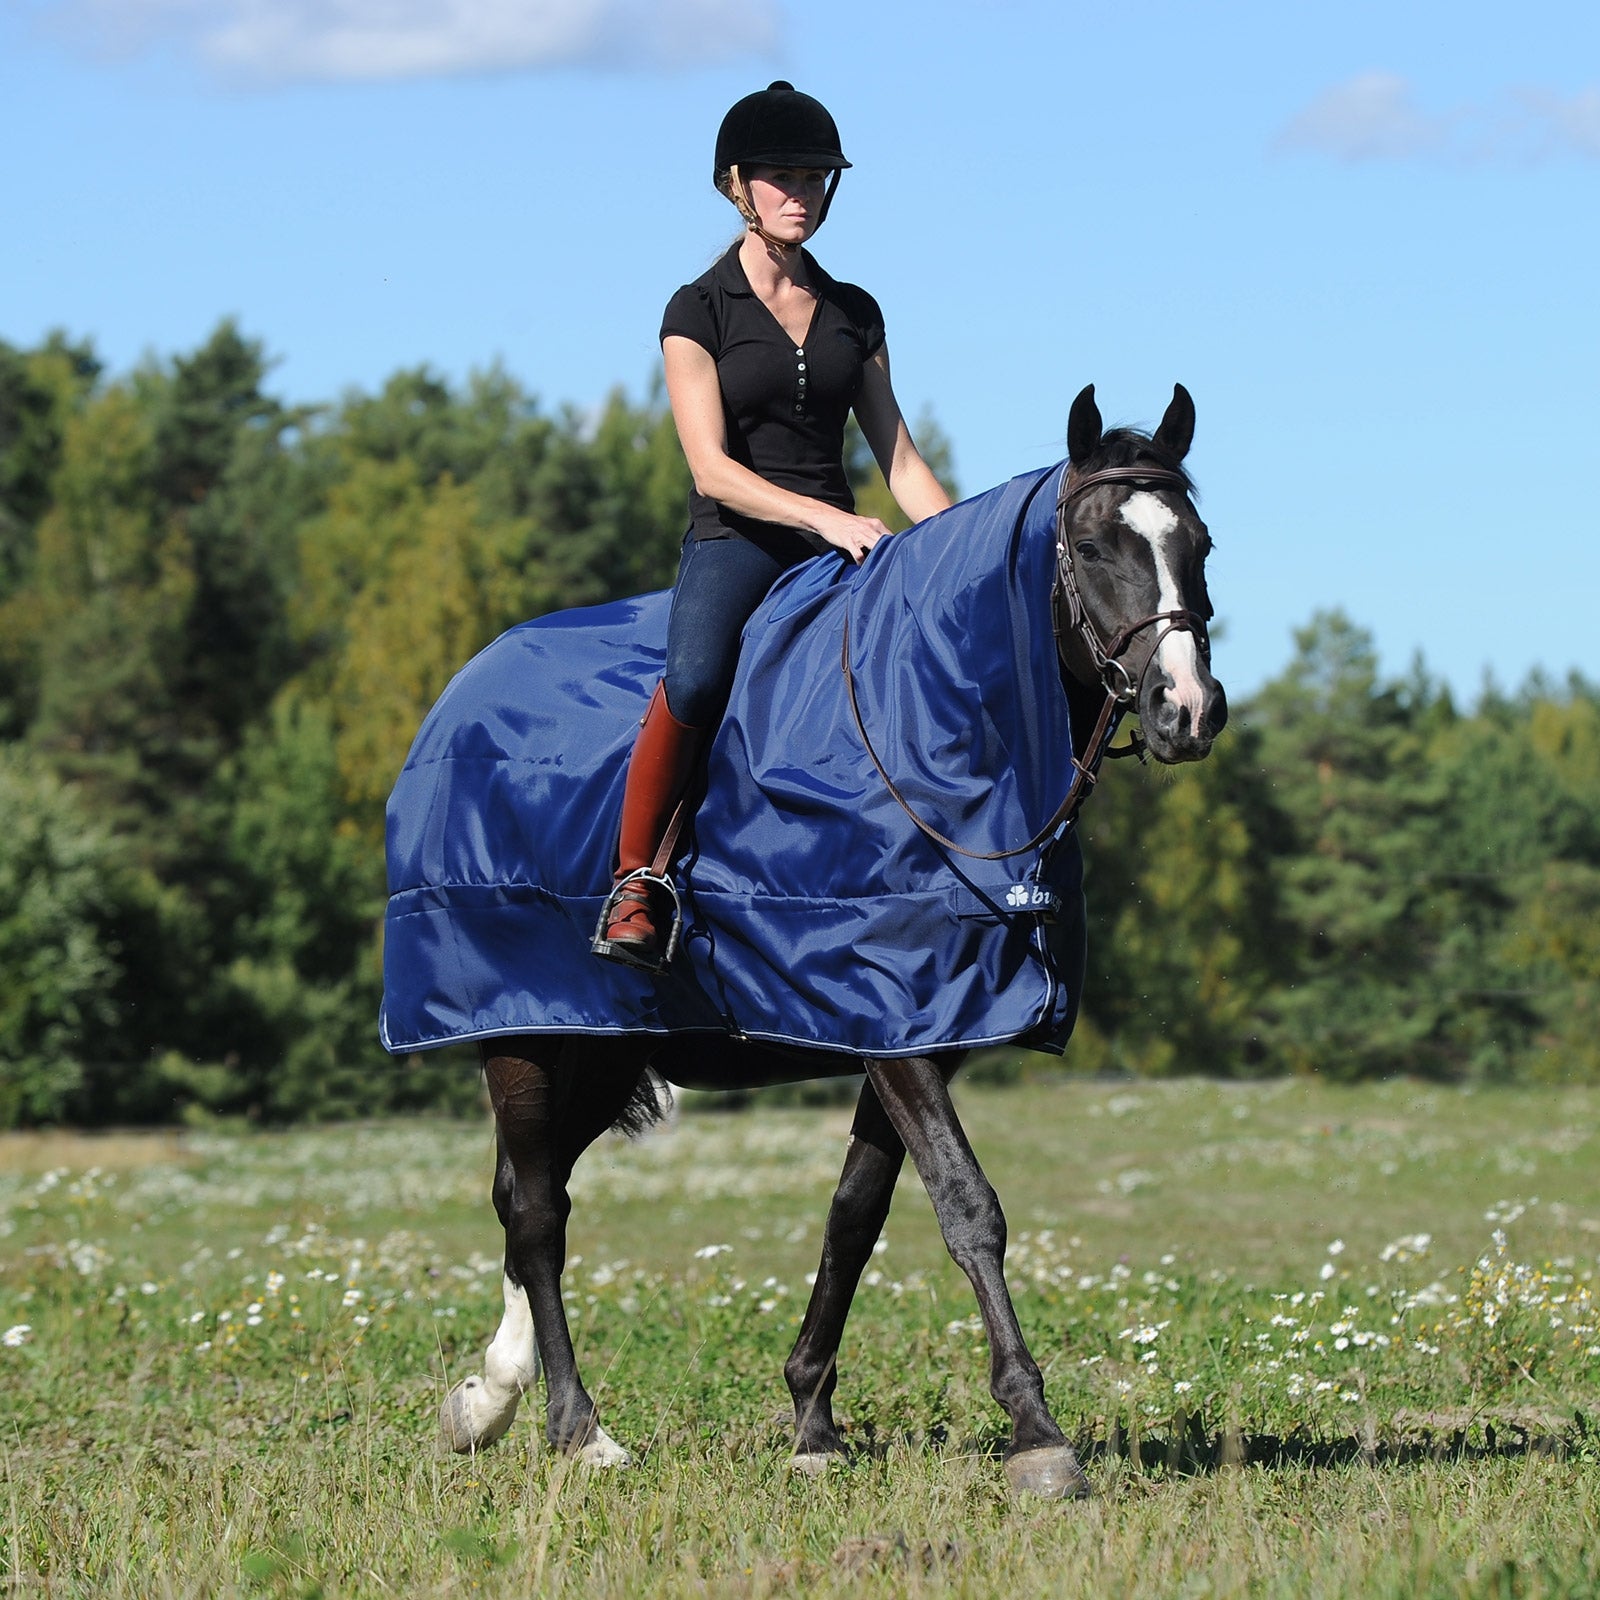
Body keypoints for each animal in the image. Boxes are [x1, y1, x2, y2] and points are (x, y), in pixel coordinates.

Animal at [401, 383, 1228, 1500]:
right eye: (1095, 545)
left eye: (1199, 544)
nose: (1188, 709)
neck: (924, 722)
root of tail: (460, 699)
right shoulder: (893, 1022)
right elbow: (968, 1207)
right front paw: (1036, 1431)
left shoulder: (910, 1030)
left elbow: (856, 1214)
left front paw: (811, 1419)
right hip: (522, 1035)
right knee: (535, 1214)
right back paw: (577, 1427)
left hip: (598, 1045)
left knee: (529, 1195)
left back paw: (488, 1397)